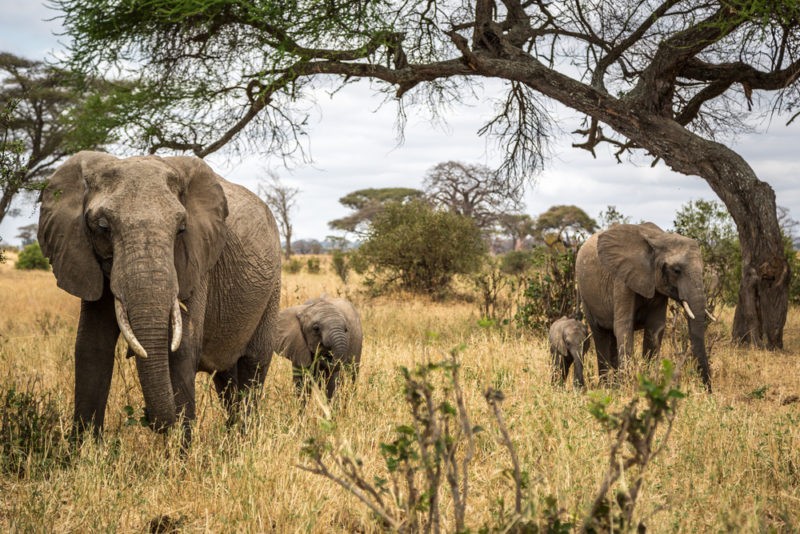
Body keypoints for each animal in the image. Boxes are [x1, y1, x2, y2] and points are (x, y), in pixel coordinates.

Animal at [38, 152, 282, 444]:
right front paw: (83, 450)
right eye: (103, 227)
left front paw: (179, 453)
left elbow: (181, 348)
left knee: (254, 364)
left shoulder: (197, 263)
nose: (146, 417)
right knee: (226, 378)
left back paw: (244, 441)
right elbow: (91, 346)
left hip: (273, 287)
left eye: (181, 229)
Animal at [576, 224, 712, 392]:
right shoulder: (622, 279)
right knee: (600, 333)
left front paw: (648, 382)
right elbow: (624, 326)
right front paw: (627, 386)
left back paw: (614, 386)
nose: (708, 391)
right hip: (585, 295)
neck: (660, 238)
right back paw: (607, 386)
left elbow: (655, 328)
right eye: (676, 270)